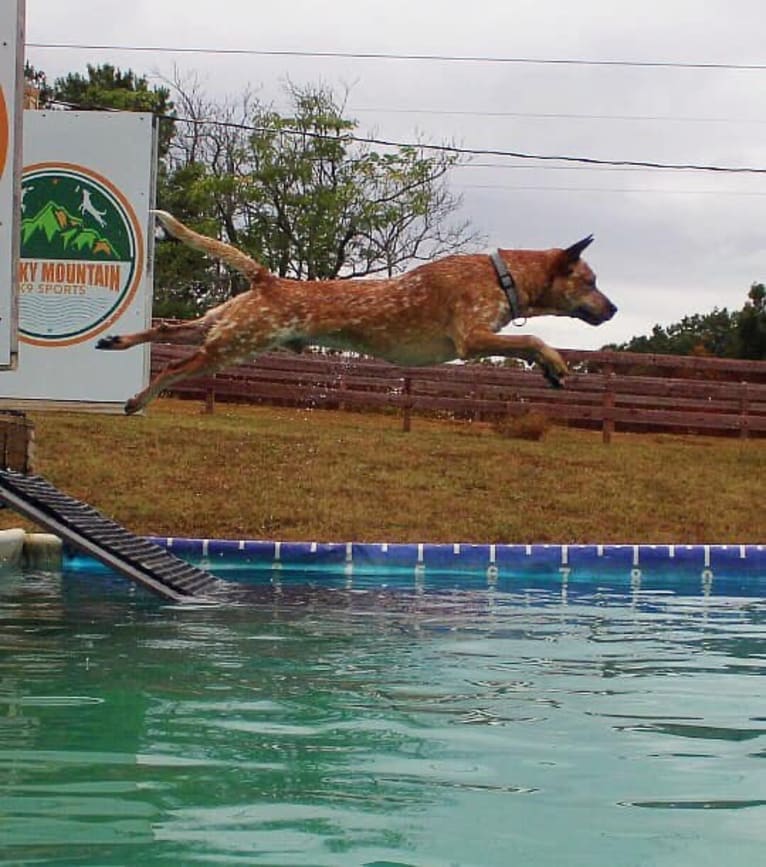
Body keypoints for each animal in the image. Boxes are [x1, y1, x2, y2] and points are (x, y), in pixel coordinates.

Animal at [99, 209, 620, 414]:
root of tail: (268, 279)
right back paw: (138, 398)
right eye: (591, 281)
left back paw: (116, 340)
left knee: (166, 328)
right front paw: (554, 361)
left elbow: (527, 343)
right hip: (234, 344)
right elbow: (532, 338)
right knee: (175, 366)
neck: (502, 274)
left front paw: (551, 370)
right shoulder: (470, 339)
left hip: (220, 325)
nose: (614, 309)